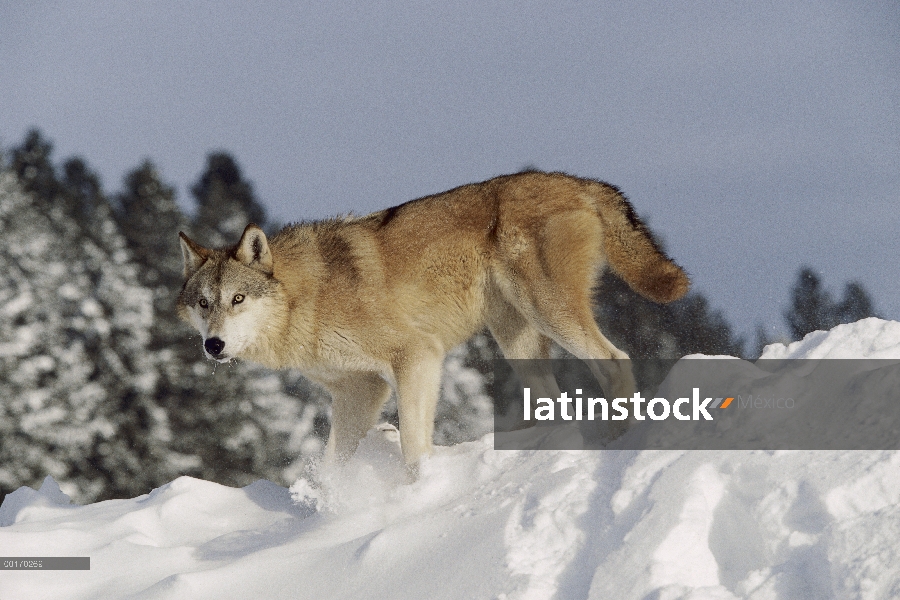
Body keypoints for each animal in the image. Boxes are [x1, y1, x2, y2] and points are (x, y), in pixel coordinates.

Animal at [179, 171, 692, 472]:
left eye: (238, 298)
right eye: (204, 303)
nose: (214, 346)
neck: (305, 298)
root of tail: (576, 179)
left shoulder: (417, 356)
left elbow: (413, 444)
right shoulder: (360, 391)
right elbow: (333, 463)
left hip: (549, 314)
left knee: (615, 359)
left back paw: (621, 440)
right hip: (517, 339)